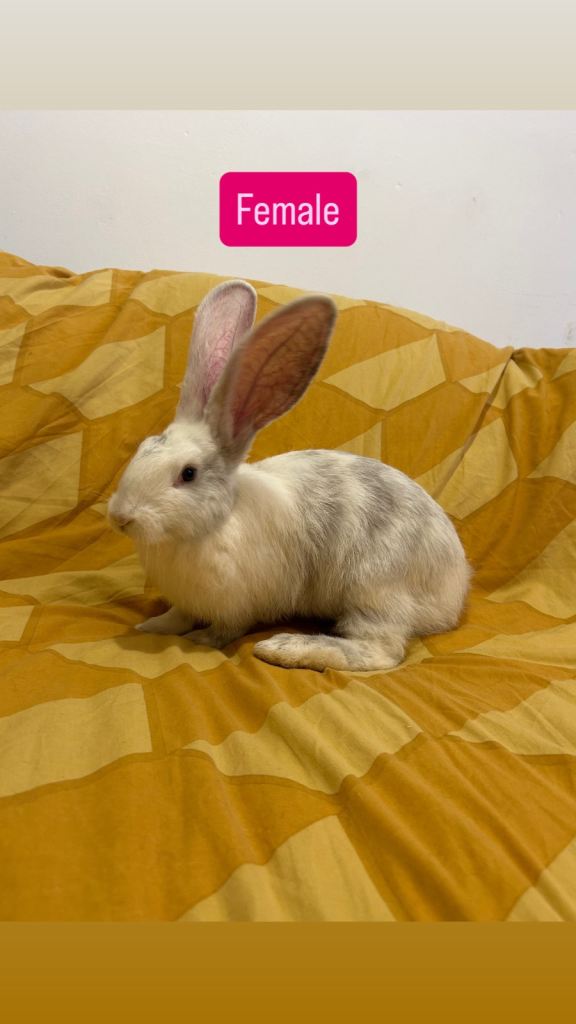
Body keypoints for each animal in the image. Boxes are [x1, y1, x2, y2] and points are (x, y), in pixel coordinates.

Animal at [108, 280, 471, 672]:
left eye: (188, 474)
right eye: (143, 447)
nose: (120, 517)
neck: (210, 526)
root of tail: (455, 590)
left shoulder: (236, 606)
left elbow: (224, 630)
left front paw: (201, 640)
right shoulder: (187, 601)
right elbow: (177, 615)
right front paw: (151, 626)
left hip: (376, 590)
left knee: (380, 651)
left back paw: (284, 648)